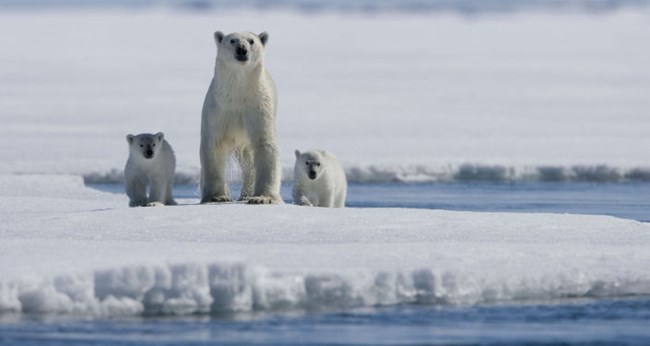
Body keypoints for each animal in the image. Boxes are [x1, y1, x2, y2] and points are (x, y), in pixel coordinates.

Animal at [200, 31, 280, 204]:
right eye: (232, 40)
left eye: (251, 41)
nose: (242, 49)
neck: (238, 94)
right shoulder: (219, 110)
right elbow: (214, 146)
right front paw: (217, 196)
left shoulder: (258, 108)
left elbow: (264, 145)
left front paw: (262, 198)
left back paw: (246, 193)